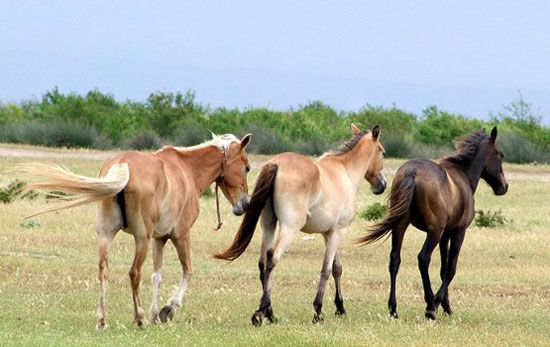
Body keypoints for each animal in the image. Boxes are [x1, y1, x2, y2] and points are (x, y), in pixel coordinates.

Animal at [17, 134, 253, 332]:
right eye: (247, 167)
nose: (245, 204)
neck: (187, 170)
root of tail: (123, 165)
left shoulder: (160, 238)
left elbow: (157, 275)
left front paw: (155, 313)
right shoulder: (180, 235)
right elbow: (187, 271)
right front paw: (168, 309)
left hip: (107, 235)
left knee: (103, 271)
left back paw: (102, 320)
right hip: (142, 239)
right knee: (134, 273)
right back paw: (139, 317)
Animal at [216, 123, 388, 324]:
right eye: (383, 152)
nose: (382, 185)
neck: (345, 172)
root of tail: (276, 164)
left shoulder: (329, 233)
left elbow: (337, 268)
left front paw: (340, 307)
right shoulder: (338, 232)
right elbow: (326, 270)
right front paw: (318, 311)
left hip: (268, 224)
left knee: (263, 263)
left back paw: (269, 312)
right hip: (289, 228)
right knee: (272, 259)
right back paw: (262, 311)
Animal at [360, 128, 512, 320]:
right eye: (500, 154)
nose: (504, 187)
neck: (463, 177)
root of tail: (413, 171)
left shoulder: (445, 234)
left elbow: (443, 268)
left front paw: (446, 305)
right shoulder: (458, 232)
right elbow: (451, 268)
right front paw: (439, 304)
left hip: (401, 225)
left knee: (395, 260)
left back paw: (393, 309)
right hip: (434, 231)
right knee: (423, 258)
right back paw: (430, 305)